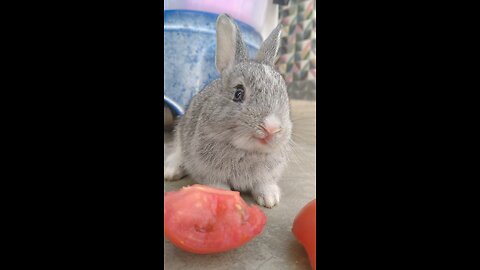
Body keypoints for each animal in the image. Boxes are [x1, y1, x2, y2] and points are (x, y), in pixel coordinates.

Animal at [165, 13, 292, 209]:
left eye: (284, 94)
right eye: (238, 93)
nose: (272, 128)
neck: (246, 150)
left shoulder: (267, 175)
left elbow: (264, 184)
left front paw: (270, 199)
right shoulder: (209, 173)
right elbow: (218, 186)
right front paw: (226, 197)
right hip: (181, 133)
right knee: (177, 152)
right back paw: (171, 171)